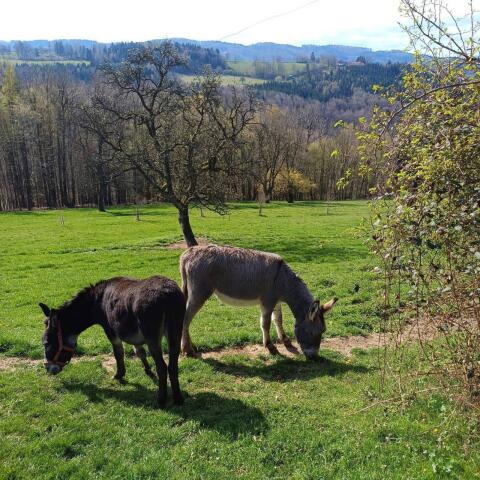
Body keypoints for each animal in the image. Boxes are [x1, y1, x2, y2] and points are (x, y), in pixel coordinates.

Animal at [40, 275, 185, 407]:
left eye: (46, 343)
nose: (48, 369)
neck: (98, 301)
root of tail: (167, 293)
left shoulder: (111, 332)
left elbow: (118, 353)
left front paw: (118, 375)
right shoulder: (136, 336)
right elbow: (140, 352)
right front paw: (148, 371)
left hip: (153, 337)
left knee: (162, 367)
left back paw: (161, 400)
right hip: (176, 332)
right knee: (173, 366)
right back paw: (178, 398)